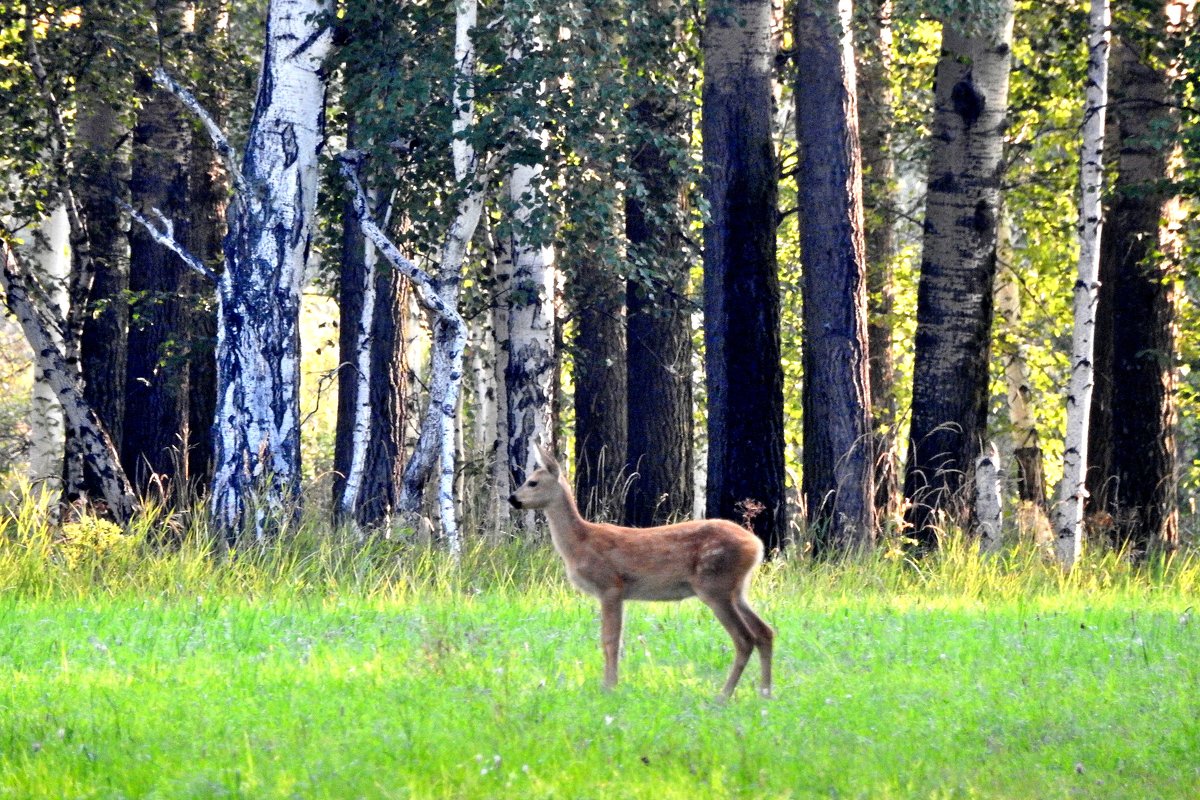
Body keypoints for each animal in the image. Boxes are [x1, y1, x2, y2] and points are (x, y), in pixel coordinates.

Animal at [508, 448, 772, 695]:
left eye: (533, 482)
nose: (512, 498)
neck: (580, 543)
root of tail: (756, 546)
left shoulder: (611, 585)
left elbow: (610, 640)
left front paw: (609, 686)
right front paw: (611, 684)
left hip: (715, 586)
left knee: (745, 638)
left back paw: (724, 696)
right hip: (736, 589)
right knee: (764, 631)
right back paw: (765, 693)